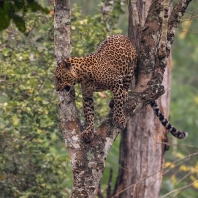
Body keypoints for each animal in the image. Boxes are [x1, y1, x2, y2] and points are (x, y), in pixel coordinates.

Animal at [55, 34, 188, 142]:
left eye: (59, 78)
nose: (56, 89)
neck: (83, 74)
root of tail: (125, 38)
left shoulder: (116, 82)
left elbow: (119, 104)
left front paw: (119, 119)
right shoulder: (87, 95)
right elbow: (89, 114)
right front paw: (89, 132)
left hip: (130, 68)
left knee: (125, 88)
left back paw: (122, 96)